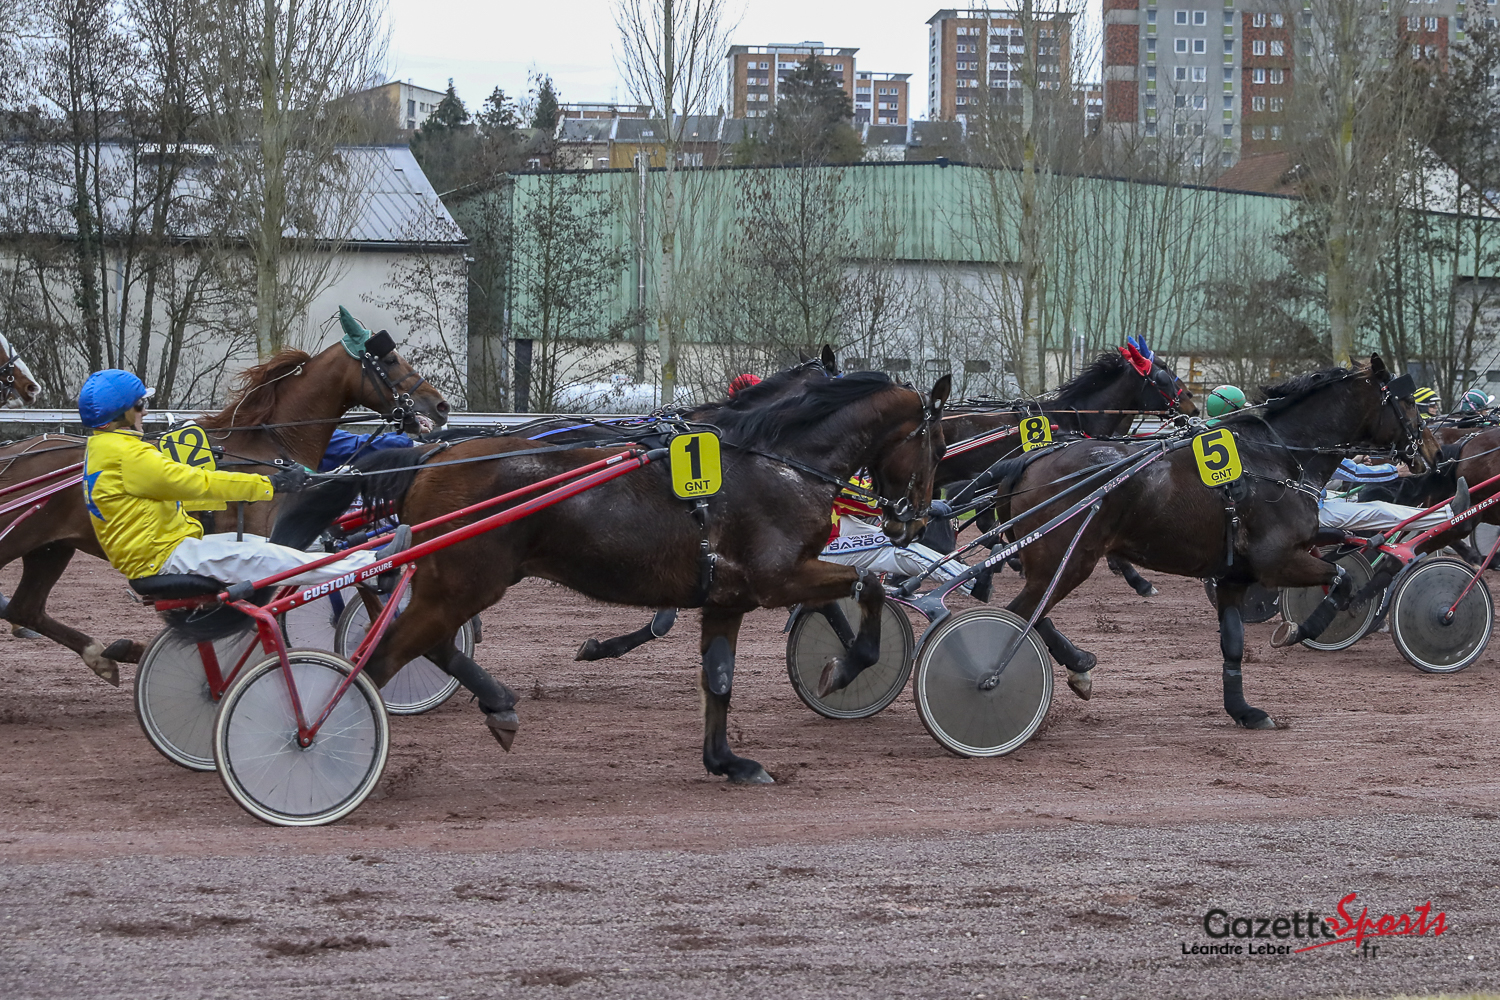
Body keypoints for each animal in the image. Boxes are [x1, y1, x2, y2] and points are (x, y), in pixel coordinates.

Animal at [0, 331, 448, 684]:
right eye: (390, 359)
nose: (441, 406)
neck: (265, 446)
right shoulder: (265, 539)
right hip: (19, 540)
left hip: (50, 548)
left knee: (26, 608)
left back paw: (109, 655)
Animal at [266, 371, 951, 783]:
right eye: (938, 444)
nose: (916, 518)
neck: (780, 464)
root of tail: (432, 454)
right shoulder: (778, 578)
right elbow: (869, 587)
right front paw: (845, 665)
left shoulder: (725, 598)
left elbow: (719, 680)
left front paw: (726, 761)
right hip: (464, 582)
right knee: (382, 657)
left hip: (452, 583)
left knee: (421, 645)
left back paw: (498, 704)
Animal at [892, 357, 1433, 731]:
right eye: (1407, 403)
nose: (1430, 451)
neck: (1273, 456)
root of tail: (1030, 459)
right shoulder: (1275, 560)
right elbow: (1339, 579)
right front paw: (1302, 628)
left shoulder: (1236, 574)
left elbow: (1234, 643)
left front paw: (1243, 710)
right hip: (1071, 558)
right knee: (1023, 613)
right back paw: (1030, 671)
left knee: (1031, 611)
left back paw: (1077, 662)